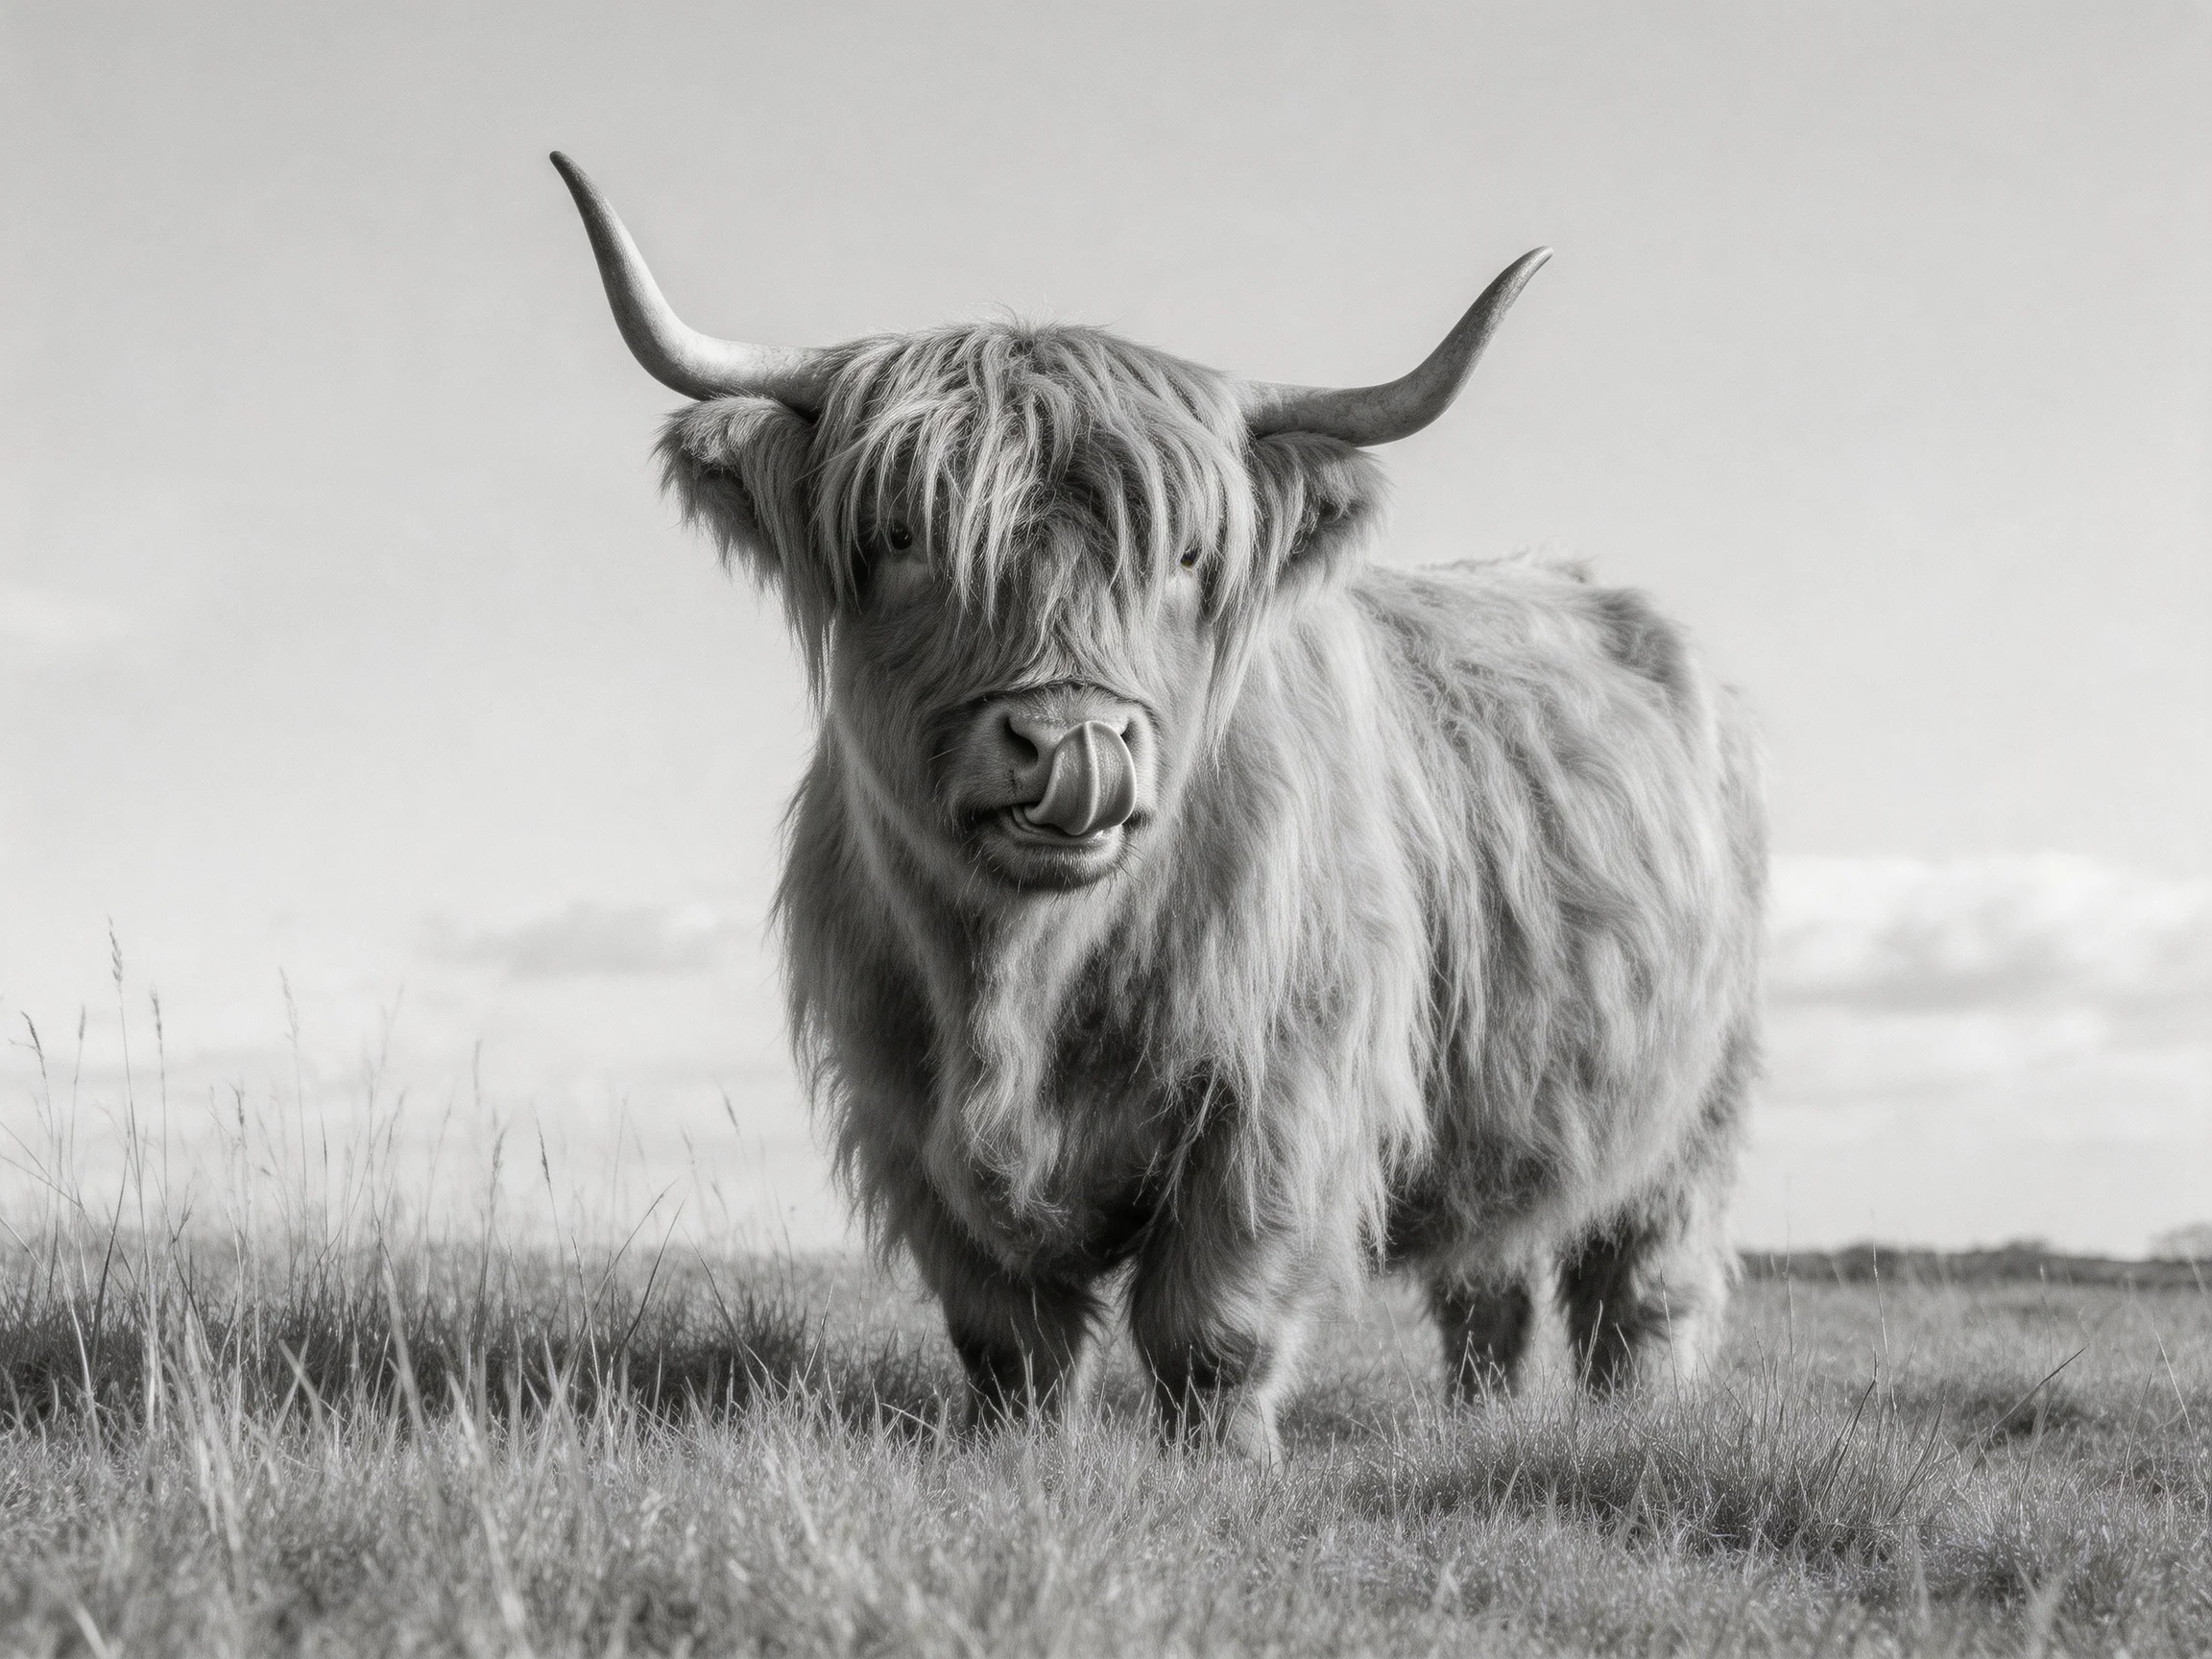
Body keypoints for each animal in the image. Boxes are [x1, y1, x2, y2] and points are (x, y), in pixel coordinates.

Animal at [552, 154, 1765, 1464]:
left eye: (1185, 558)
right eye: (903, 536)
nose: (1072, 746)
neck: (1023, 982)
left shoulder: (1286, 1088)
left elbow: (1213, 1316)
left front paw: (1226, 1460)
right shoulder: (906, 1114)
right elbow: (1007, 1328)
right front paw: (1020, 1447)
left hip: (1701, 1096)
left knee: (1643, 1277)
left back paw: (1641, 1420)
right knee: (1484, 1276)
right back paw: (1472, 1418)